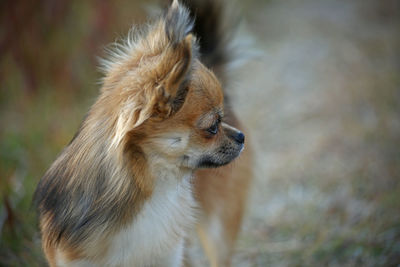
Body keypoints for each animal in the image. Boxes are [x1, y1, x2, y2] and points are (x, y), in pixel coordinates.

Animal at [36, 1, 252, 266]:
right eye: (213, 126)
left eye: (223, 120)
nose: (241, 137)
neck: (150, 192)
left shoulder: (171, 255)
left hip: (217, 230)